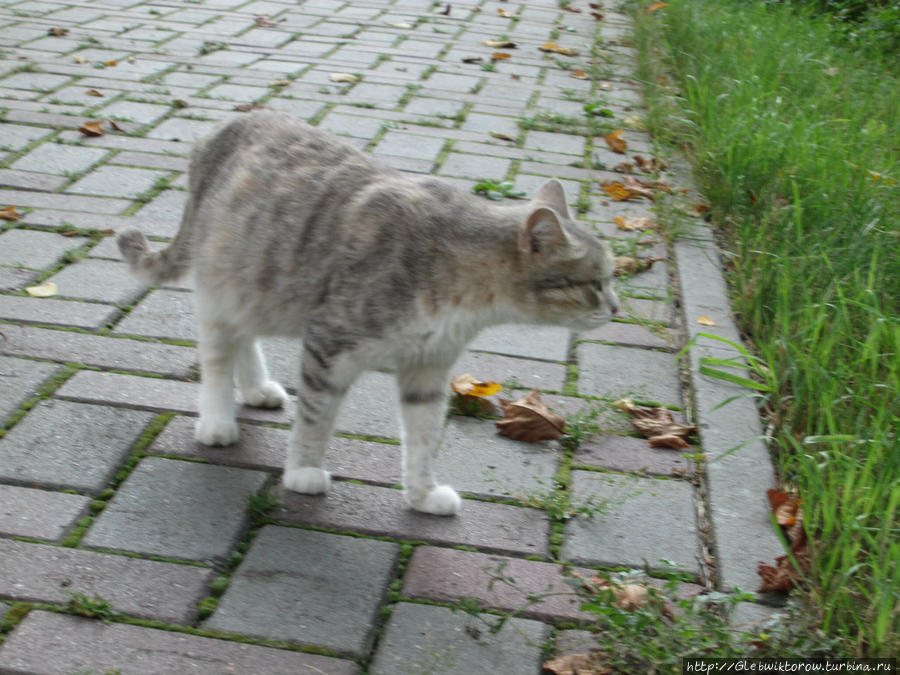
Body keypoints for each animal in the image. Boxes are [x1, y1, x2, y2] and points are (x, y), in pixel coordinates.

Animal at [119, 111, 620, 516]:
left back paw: (257, 388)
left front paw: (422, 494)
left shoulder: (428, 369)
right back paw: (218, 420)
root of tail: (224, 126)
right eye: (595, 283)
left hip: (259, 287)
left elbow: (423, 439)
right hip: (223, 285)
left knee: (245, 338)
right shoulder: (329, 344)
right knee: (219, 355)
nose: (616, 308)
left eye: (611, 278)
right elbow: (316, 418)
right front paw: (303, 471)